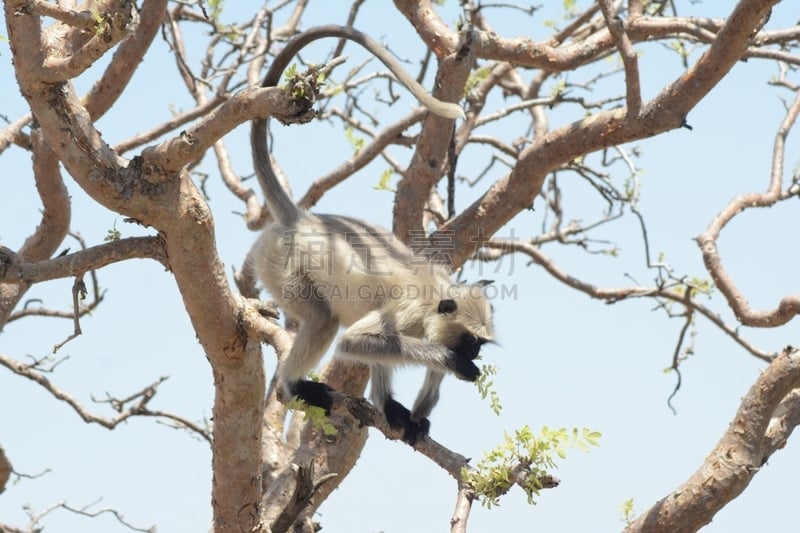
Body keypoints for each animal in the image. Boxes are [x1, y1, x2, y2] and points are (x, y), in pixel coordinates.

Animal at [248, 25, 494, 442]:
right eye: (471, 340)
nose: (475, 353)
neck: (435, 298)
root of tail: (303, 220)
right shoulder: (411, 310)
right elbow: (355, 341)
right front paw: (451, 363)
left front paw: (412, 415)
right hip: (282, 266)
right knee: (324, 321)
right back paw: (292, 386)